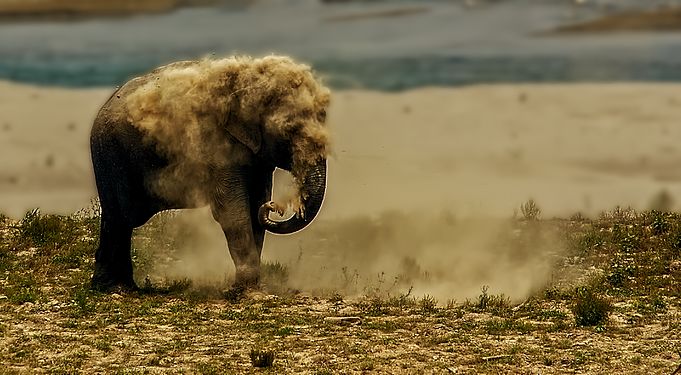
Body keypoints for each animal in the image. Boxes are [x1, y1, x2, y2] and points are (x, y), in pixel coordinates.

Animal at [87, 54, 332, 292]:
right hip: (110, 155)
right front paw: (243, 289)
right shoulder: (213, 144)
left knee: (119, 219)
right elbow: (232, 211)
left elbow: (255, 204)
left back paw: (117, 286)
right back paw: (115, 289)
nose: (274, 207)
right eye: (289, 130)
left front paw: (250, 285)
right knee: (121, 217)